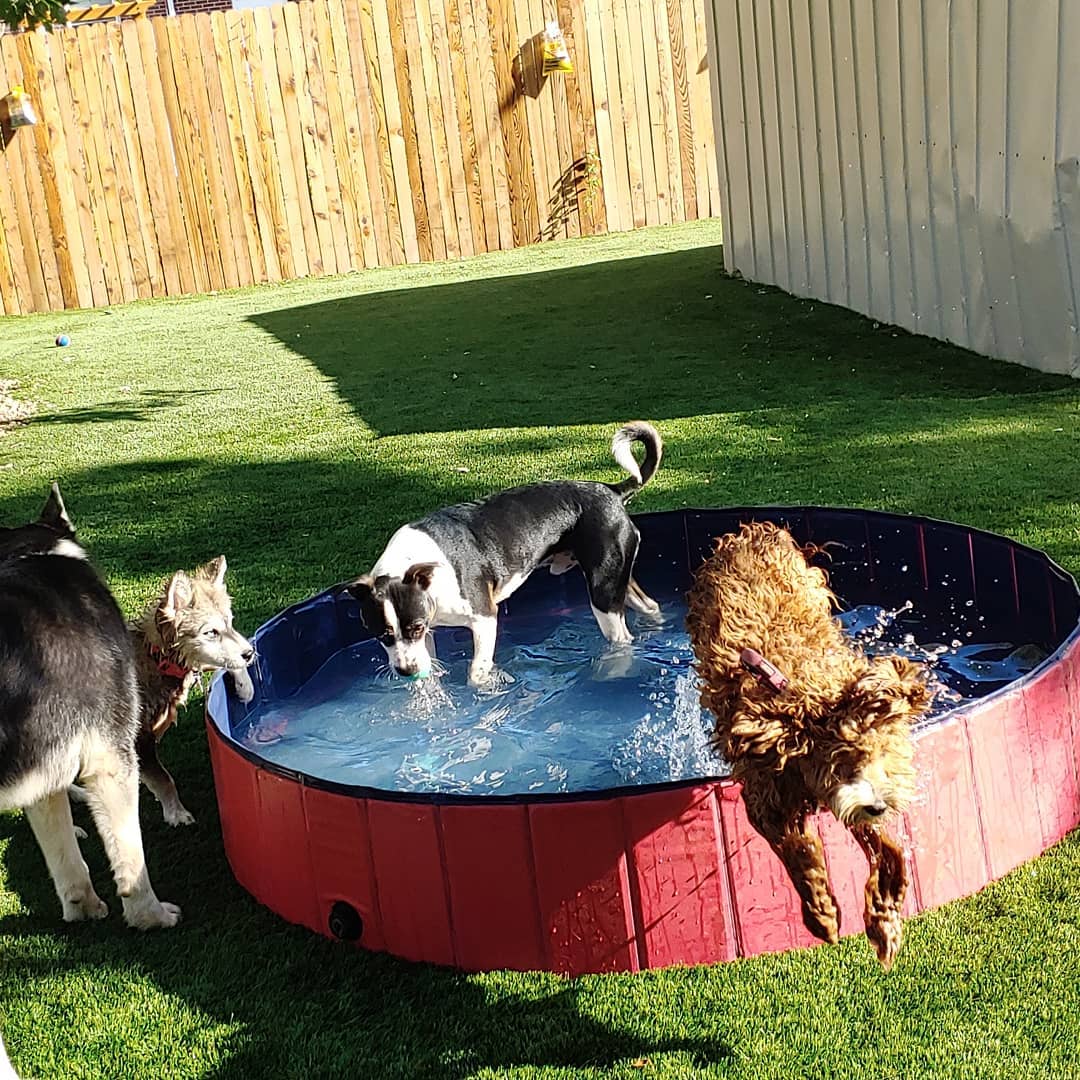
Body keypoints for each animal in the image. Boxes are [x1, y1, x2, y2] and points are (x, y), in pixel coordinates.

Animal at [349, 419, 660, 682]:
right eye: (382, 635)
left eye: (413, 628)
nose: (407, 671)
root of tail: (612, 491)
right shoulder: (428, 628)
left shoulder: (484, 618)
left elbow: (477, 672)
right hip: (617, 578)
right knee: (650, 606)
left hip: (603, 593)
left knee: (621, 638)